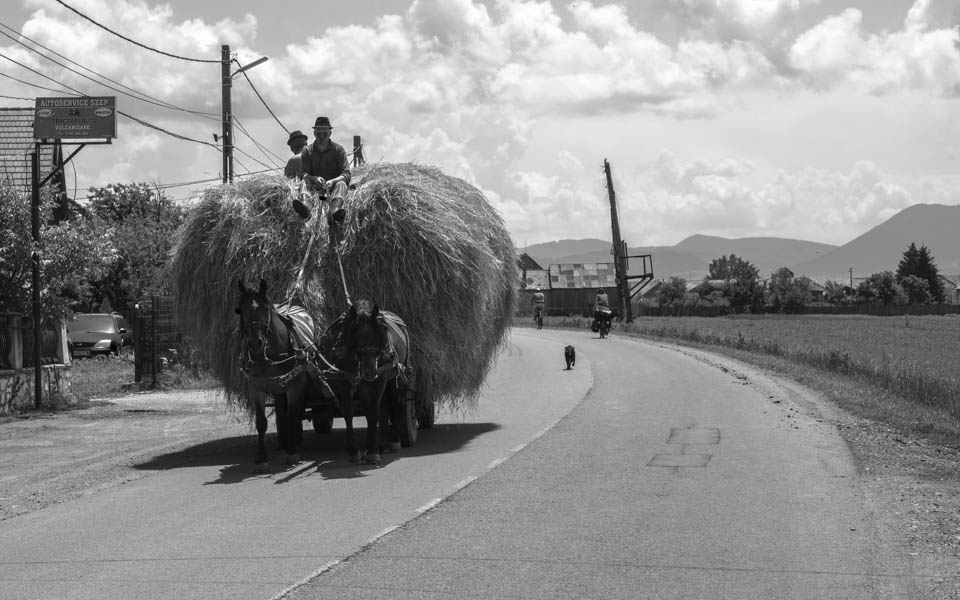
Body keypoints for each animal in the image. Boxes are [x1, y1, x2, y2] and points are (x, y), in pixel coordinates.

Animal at [234, 278, 328, 472]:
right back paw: (283, 445)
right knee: (281, 412)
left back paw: (295, 444)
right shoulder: (256, 388)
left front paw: (292, 453)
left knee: (296, 412)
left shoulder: (294, 386)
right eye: (240, 309)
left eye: (265, 307)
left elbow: (292, 417)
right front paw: (262, 458)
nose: (255, 343)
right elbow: (261, 422)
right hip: (278, 388)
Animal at [334, 300, 408, 464]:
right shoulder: (345, 380)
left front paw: (373, 451)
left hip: (395, 377)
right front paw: (354, 451)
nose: (369, 372)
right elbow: (348, 412)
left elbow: (373, 412)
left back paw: (394, 441)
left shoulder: (378, 380)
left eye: (378, 334)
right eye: (356, 337)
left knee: (396, 404)